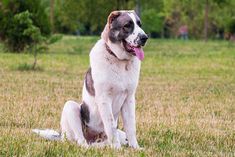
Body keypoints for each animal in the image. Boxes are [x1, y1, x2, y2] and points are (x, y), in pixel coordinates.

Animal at [33, 9, 148, 148]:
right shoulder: (104, 98)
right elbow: (110, 125)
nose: (145, 37)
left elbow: (131, 126)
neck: (119, 61)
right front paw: (116, 148)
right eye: (127, 25)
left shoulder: (129, 99)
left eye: (139, 24)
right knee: (80, 141)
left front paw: (135, 148)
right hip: (71, 107)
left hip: (118, 134)